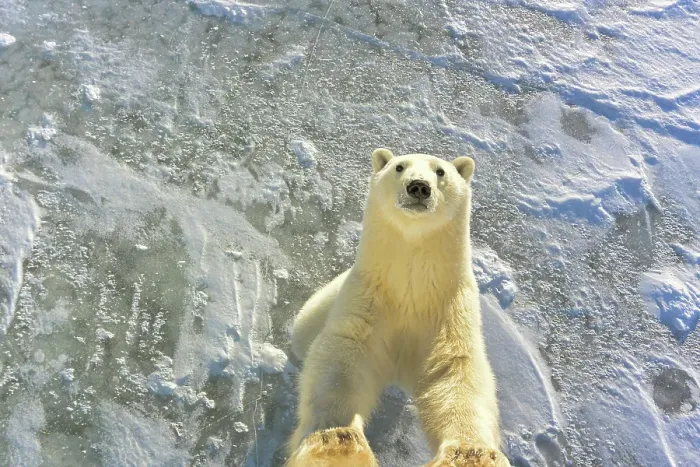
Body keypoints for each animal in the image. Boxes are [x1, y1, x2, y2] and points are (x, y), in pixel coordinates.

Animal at [286, 149, 510, 467]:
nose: (419, 187)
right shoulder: (368, 298)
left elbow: (455, 370)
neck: (410, 289)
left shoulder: (448, 309)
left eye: (440, 171)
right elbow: (344, 355)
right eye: (399, 167)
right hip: (316, 309)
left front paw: (469, 454)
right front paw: (335, 443)